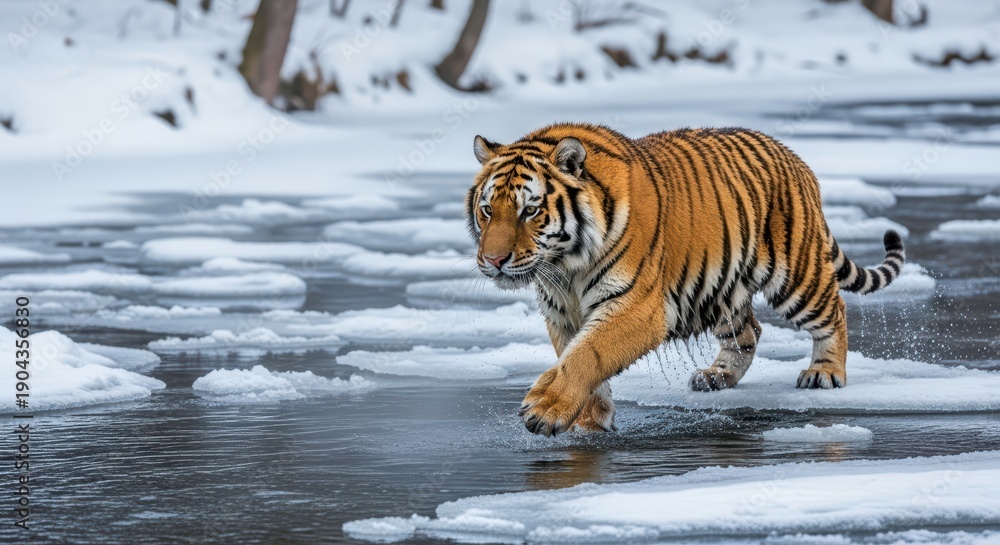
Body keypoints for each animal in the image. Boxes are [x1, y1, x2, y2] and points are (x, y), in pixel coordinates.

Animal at [466, 123, 905, 437]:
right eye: (487, 210)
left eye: (529, 211)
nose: (494, 260)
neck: (565, 264)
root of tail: (793, 157)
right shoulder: (561, 311)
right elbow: (572, 355)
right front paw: (591, 423)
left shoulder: (637, 307)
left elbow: (586, 355)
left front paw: (545, 409)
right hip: (724, 288)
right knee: (750, 331)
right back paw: (716, 376)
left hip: (796, 275)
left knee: (835, 311)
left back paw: (824, 373)